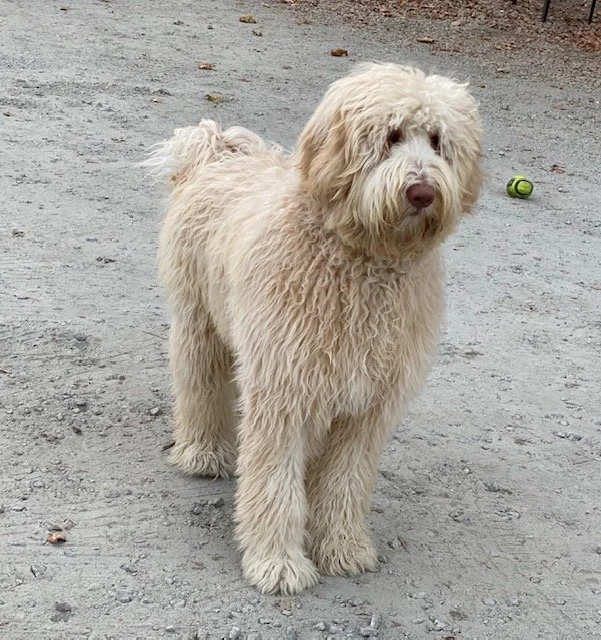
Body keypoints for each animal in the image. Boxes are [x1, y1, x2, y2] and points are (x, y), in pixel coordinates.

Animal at [147, 62, 482, 595]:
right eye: (390, 136)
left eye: (436, 140)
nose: (422, 192)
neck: (362, 262)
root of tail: (217, 150)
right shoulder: (283, 387)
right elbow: (273, 480)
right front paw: (278, 561)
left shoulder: (368, 405)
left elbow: (346, 480)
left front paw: (341, 547)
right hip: (199, 320)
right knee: (199, 382)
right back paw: (203, 451)